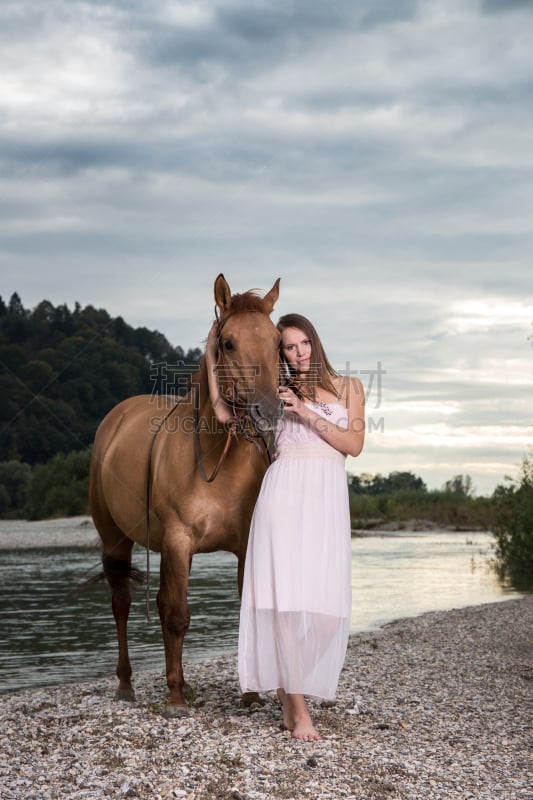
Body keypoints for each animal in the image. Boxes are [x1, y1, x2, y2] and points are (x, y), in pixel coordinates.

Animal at [89, 272, 280, 716]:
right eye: (229, 343)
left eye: (277, 340)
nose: (269, 410)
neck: (217, 458)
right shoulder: (178, 540)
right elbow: (177, 615)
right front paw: (175, 698)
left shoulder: (243, 545)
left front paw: (250, 694)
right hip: (116, 538)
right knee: (122, 604)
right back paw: (127, 685)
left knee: (158, 602)